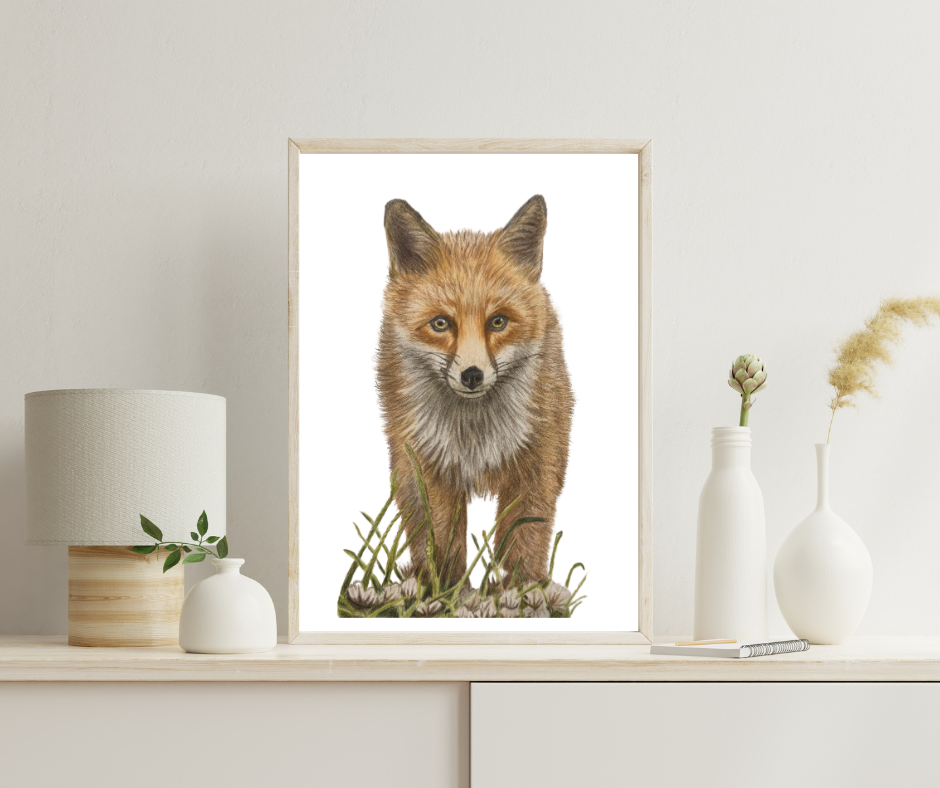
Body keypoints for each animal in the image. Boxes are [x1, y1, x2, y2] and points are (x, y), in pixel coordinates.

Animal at [376, 194, 574, 585]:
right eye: (440, 323)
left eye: (498, 321)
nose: (471, 375)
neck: (474, 434)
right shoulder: (429, 466)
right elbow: (443, 543)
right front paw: (448, 591)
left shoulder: (539, 462)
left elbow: (525, 540)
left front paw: (523, 590)